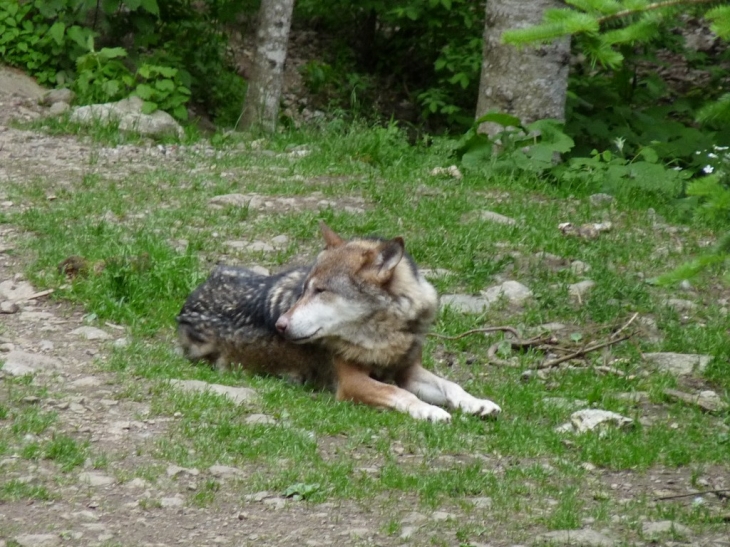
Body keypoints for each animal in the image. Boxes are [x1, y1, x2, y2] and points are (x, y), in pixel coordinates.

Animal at [175, 223, 500, 424]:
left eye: (321, 291)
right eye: (304, 290)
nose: (279, 325)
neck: (384, 331)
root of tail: (184, 307)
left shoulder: (408, 370)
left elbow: (451, 385)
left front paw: (477, 403)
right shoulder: (353, 382)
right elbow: (400, 393)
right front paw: (430, 411)